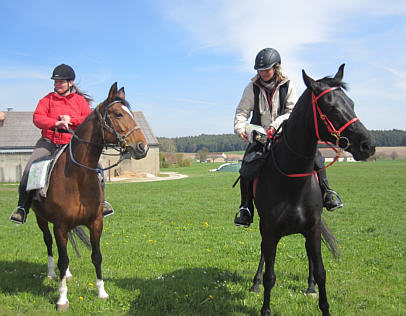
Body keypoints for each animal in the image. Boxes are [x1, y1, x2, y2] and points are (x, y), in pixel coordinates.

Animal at [30, 82, 149, 312]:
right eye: (118, 114)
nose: (143, 147)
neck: (78, 177)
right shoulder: (60, 225)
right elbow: (63, 258)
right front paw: (62, 299)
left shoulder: (95, 223)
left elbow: (96, 256)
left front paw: (102, 292)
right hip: (41, 219)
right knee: (49, 243)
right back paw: (51, 274)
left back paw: (66, 275)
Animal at [252, 65, 376, 316]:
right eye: (331, 107)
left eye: (352, 103)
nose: (368, 145)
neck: (291, 181)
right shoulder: (269, 231)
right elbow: (270, 275)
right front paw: (264, 304)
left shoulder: (313, 228)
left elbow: (320, 272)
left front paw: (323, 304)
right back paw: (255, 283)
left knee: (310, 257)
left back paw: (309, 287)